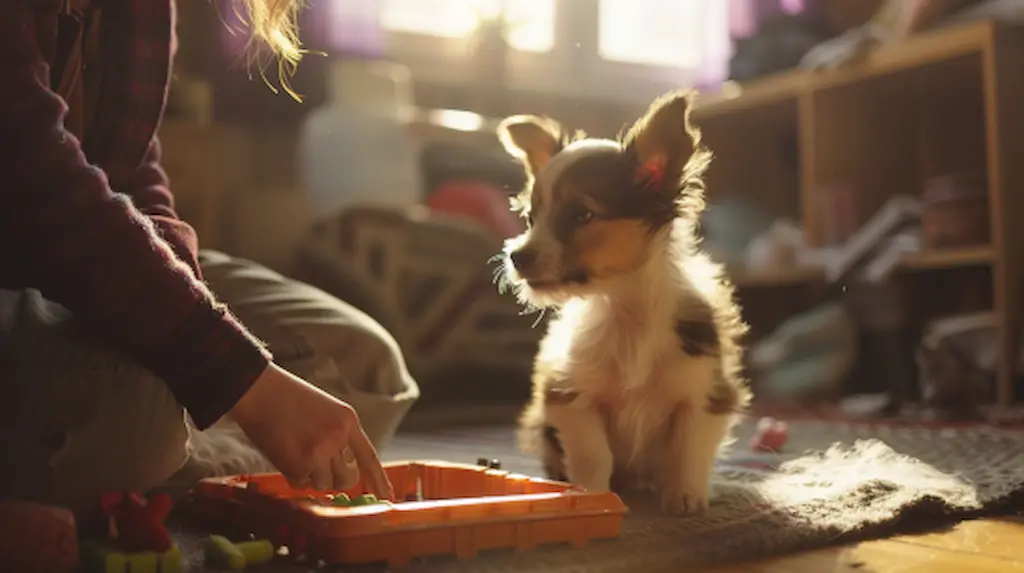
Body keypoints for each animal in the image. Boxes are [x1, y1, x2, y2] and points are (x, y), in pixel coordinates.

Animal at [495, 90, 753, 515]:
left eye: (582, 214)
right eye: (532, 218)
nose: (517, 256)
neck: (625, 311)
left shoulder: (705, 396)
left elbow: (689, 449)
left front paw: (685, 497)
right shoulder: (571, 398)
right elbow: (593, 456)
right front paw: (593, 497)